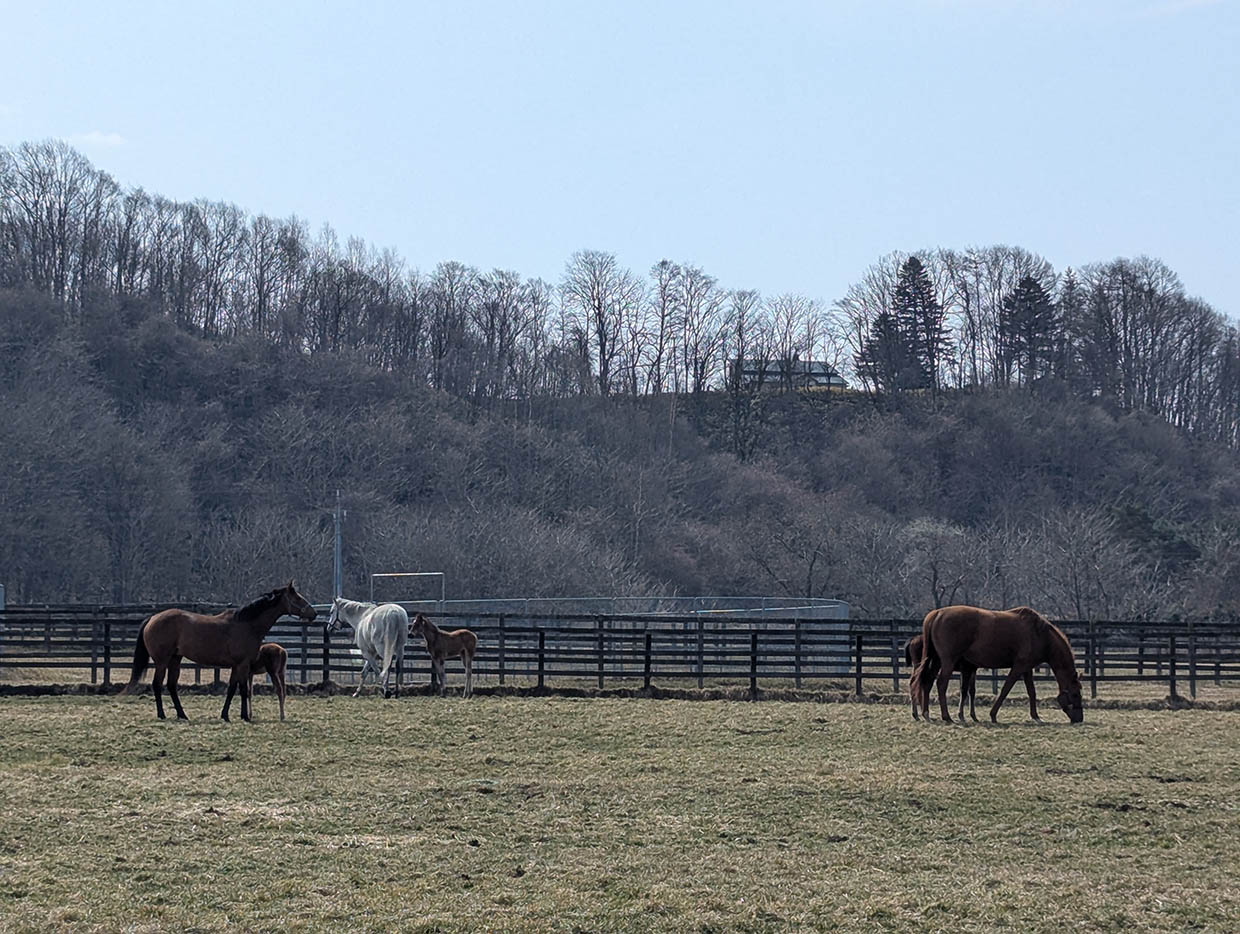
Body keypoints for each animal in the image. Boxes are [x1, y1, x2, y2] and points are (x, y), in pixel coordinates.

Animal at [122, 581, 317, 721]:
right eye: (298, 598)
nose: (313, 614)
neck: (246, 624)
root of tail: (152, 618)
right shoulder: (243, 665)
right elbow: (243, 690)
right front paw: (245, 716)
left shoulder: (236, 666)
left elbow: (231, 689)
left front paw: (225, 715)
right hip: (162, 661)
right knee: (157, 684)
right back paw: (162, 714)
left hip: (175, 659)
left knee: (171, 685)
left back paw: (182, 714)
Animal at [911, 605, 1083, 724]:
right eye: (1075, 694)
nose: (1079, 718)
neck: (1039, 634)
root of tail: (937, 614)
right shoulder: (1018, 667)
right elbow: (1005, 689)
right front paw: (993, 715)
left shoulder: (1027, 669)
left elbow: (1032, 692)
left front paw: (1036, 716)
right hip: (947, 661)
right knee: (941, 684)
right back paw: (946, 716)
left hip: (936, 661)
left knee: (927, 682)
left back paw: (926, 714)